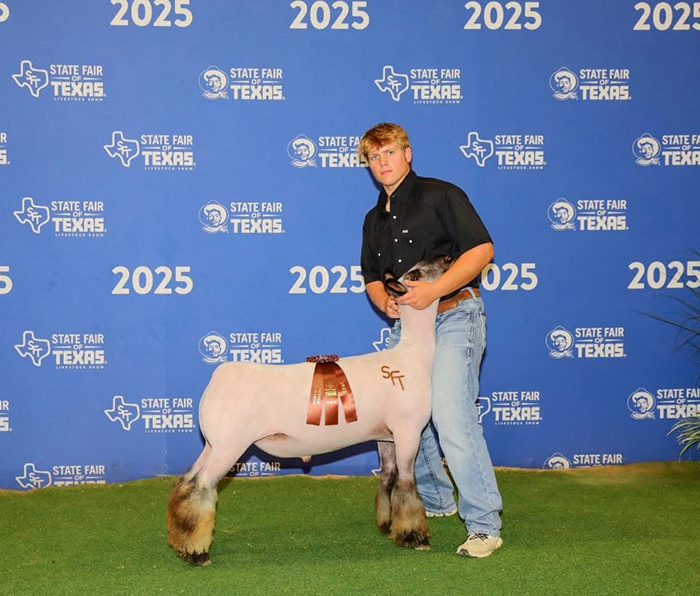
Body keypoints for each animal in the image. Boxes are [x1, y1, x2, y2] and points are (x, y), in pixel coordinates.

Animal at [167, 255, 453, 565]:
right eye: (416, 273)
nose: (448, 257)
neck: (414, 355)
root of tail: (219, 376)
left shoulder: (385, 435)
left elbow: (388, 476)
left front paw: (388, 525)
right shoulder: (407, 430)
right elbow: (406, 485)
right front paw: (414, 537)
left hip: (213, 443)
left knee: (187, 482)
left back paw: (181, 543)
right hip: (229, 445)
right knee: (202, 487)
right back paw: (198, 552)